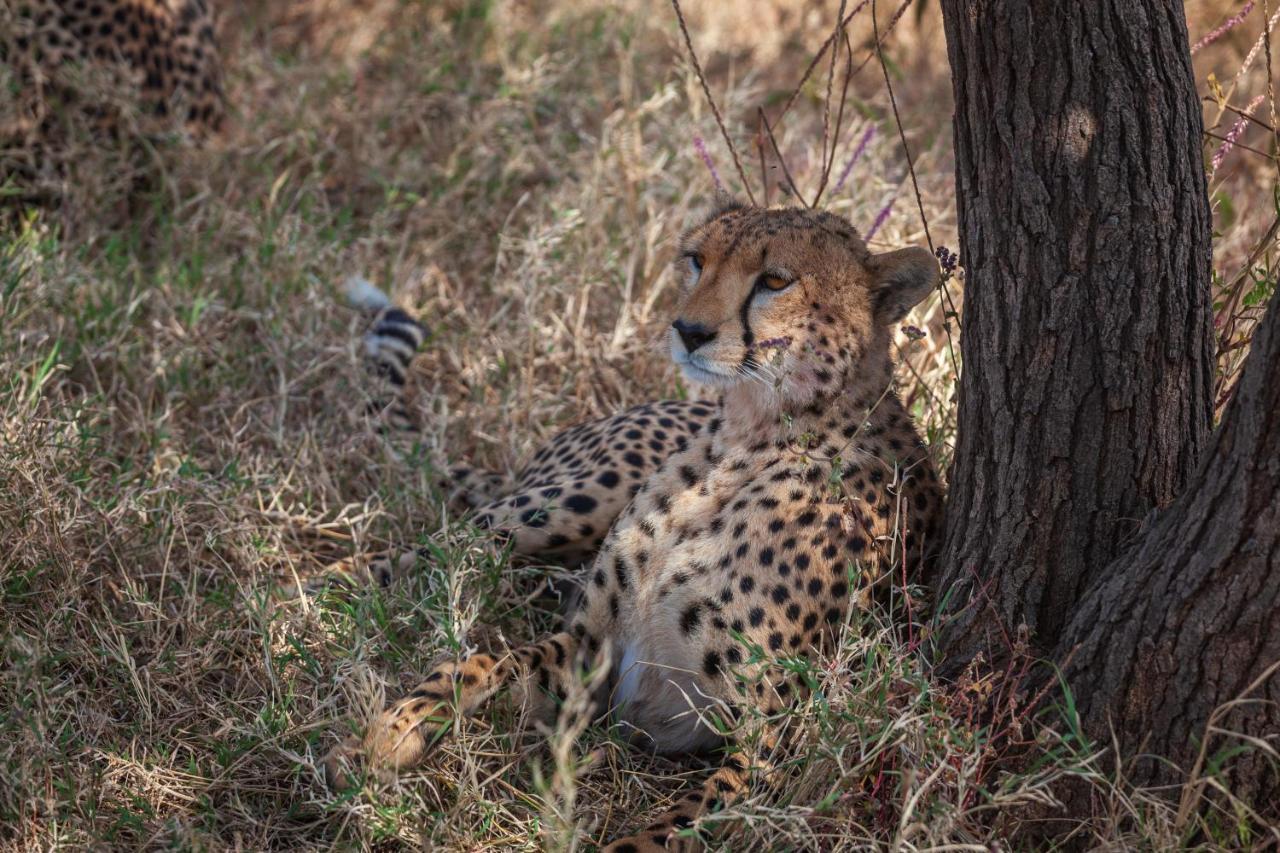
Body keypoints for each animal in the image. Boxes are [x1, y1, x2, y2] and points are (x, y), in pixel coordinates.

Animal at [332, 201, 952, 850]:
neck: (749, 437)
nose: (689, 330)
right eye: (698, 260)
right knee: (435, 544)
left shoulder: (777, 737)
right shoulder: (597, 647)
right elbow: (480, 663)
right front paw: (391, 732)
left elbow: (671, 829)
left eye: (776, 280)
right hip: (570, 503)